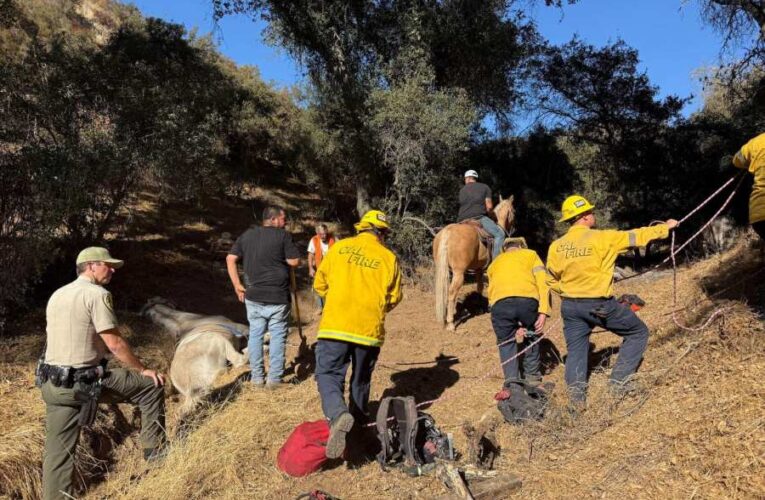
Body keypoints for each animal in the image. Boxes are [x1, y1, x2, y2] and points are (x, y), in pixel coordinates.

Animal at [436, 196, 512, 332]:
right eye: (514, 211)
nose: (512, 229)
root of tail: (447, 232)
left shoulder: (479, 269)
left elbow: (479, 286)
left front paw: (479, 307)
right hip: (459, 273)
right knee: (452, 292)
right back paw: (450, 323)